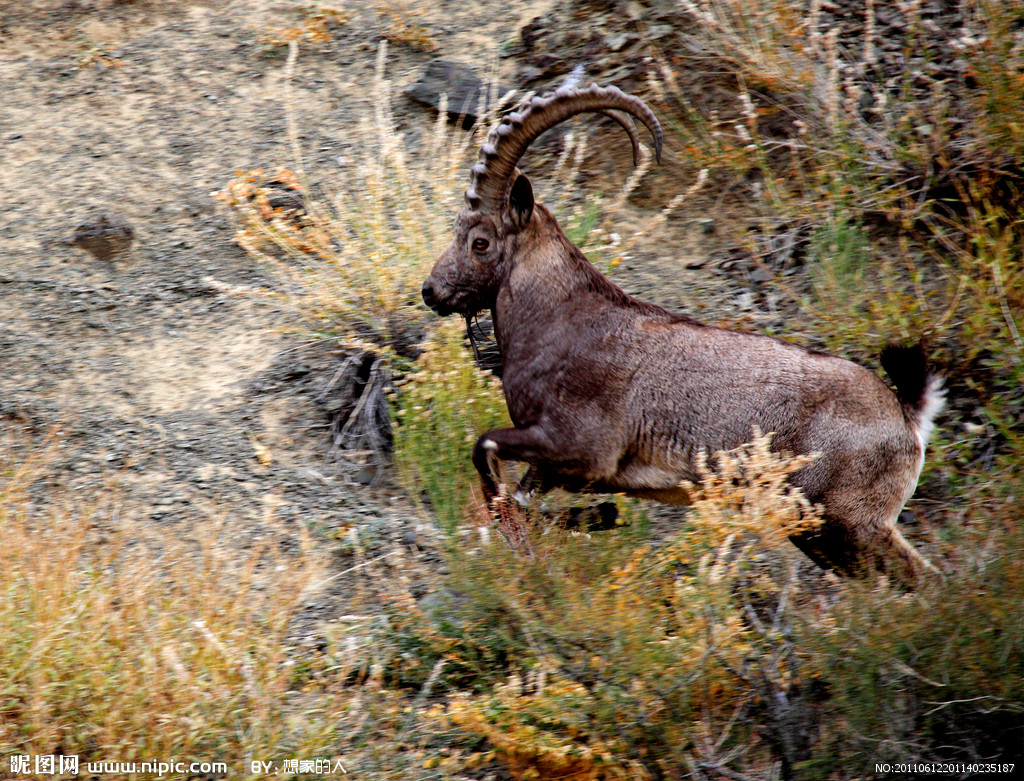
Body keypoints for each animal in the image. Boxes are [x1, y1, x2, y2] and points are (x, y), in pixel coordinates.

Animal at [421, 85, 942, 585]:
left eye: (480, 242)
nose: (431, 291)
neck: (560, 320)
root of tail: (906, 415)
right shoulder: (555, 466)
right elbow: (524, 496)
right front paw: (597, 518)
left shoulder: (581, 450)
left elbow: (486, 449)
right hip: (820, 530)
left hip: (846, 520)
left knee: (923, 581)